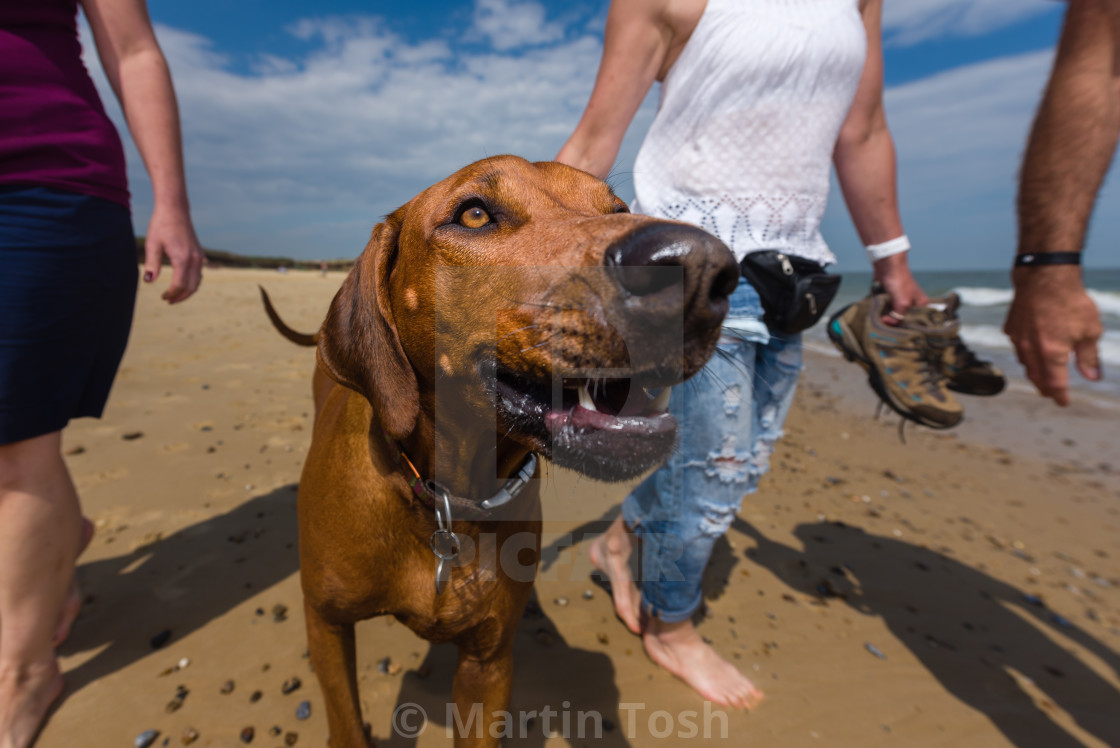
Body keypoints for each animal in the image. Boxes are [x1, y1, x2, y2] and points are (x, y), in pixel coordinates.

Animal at [259, 154, 734, 743]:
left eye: (618, 210)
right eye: (475, 214)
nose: (700, 265)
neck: (444, 500)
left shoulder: (487, 665)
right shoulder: (325, 623)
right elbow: (346, 722)